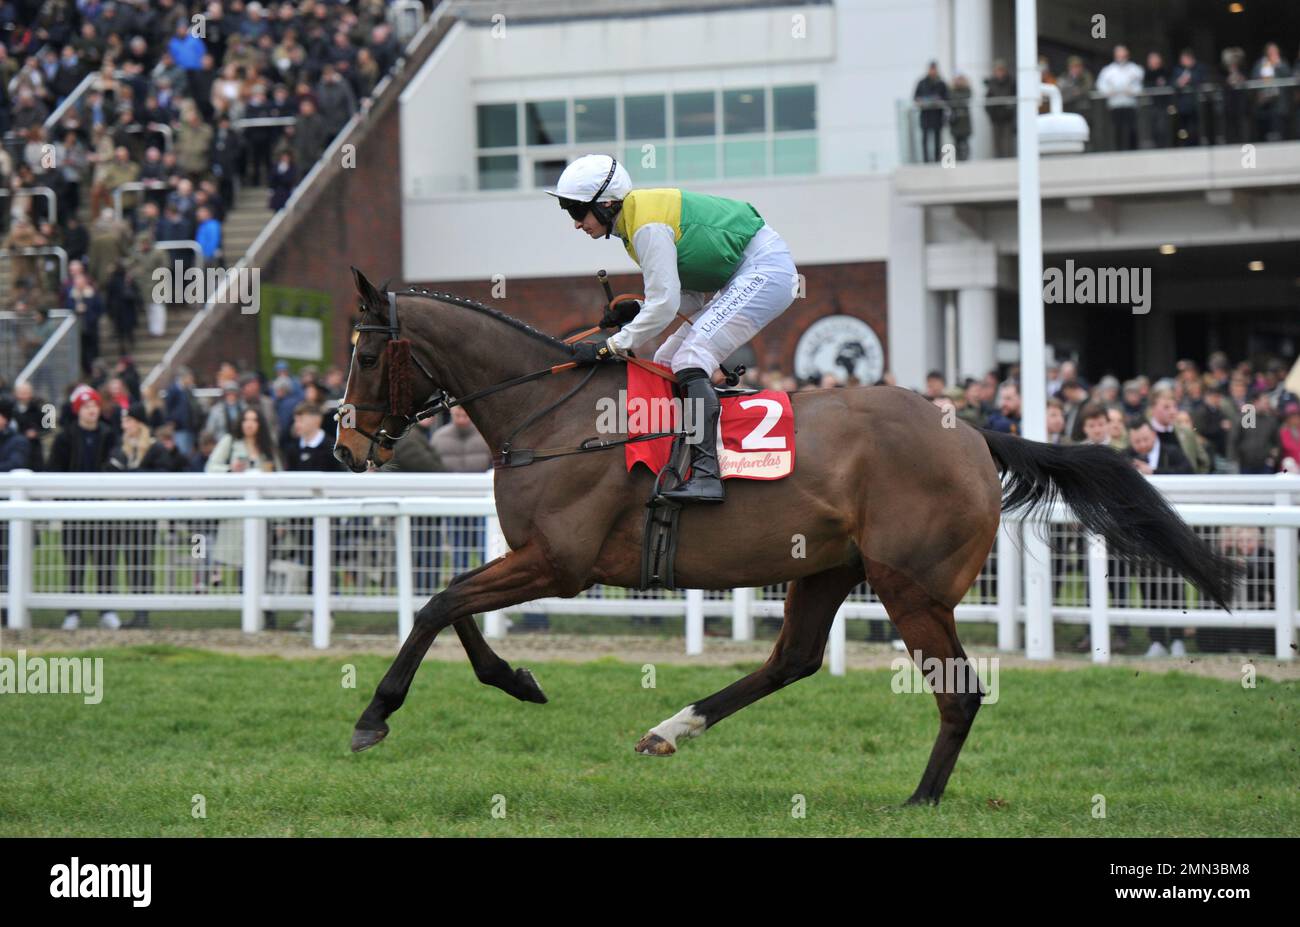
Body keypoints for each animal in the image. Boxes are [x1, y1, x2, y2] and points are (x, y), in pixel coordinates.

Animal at [332, 267, 1237, 800]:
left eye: (367, 357)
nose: (344, 444)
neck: (548, 413)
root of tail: (974, 431)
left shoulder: (560, 561)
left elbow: (439, 603)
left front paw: (375, 715)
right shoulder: (539, 559)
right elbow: (455, 607)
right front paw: (515, 678)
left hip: (909, 584)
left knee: (958, 691)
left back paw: (921, 798)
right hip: (828, 566)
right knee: (793, 659)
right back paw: (671, 729)